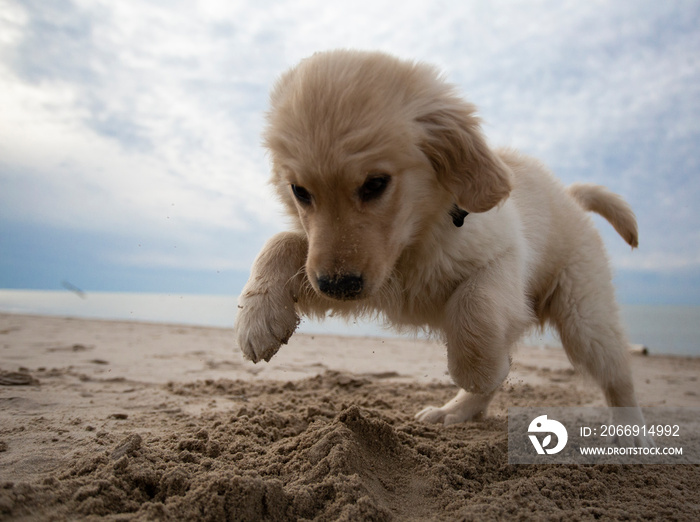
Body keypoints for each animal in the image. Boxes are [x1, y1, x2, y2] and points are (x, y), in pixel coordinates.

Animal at [234, 49, 652, 442]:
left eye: (375, 184)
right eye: (300, 191)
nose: (336, 286)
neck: (416, 238)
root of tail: (569, 196)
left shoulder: (503, 257)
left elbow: (474, 304)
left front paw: (477, 370)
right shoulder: (363, 279)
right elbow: (282, 243)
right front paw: (257, 318)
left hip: (585, 315)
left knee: (616, 374)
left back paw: (629, 432)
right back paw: (455, 411)